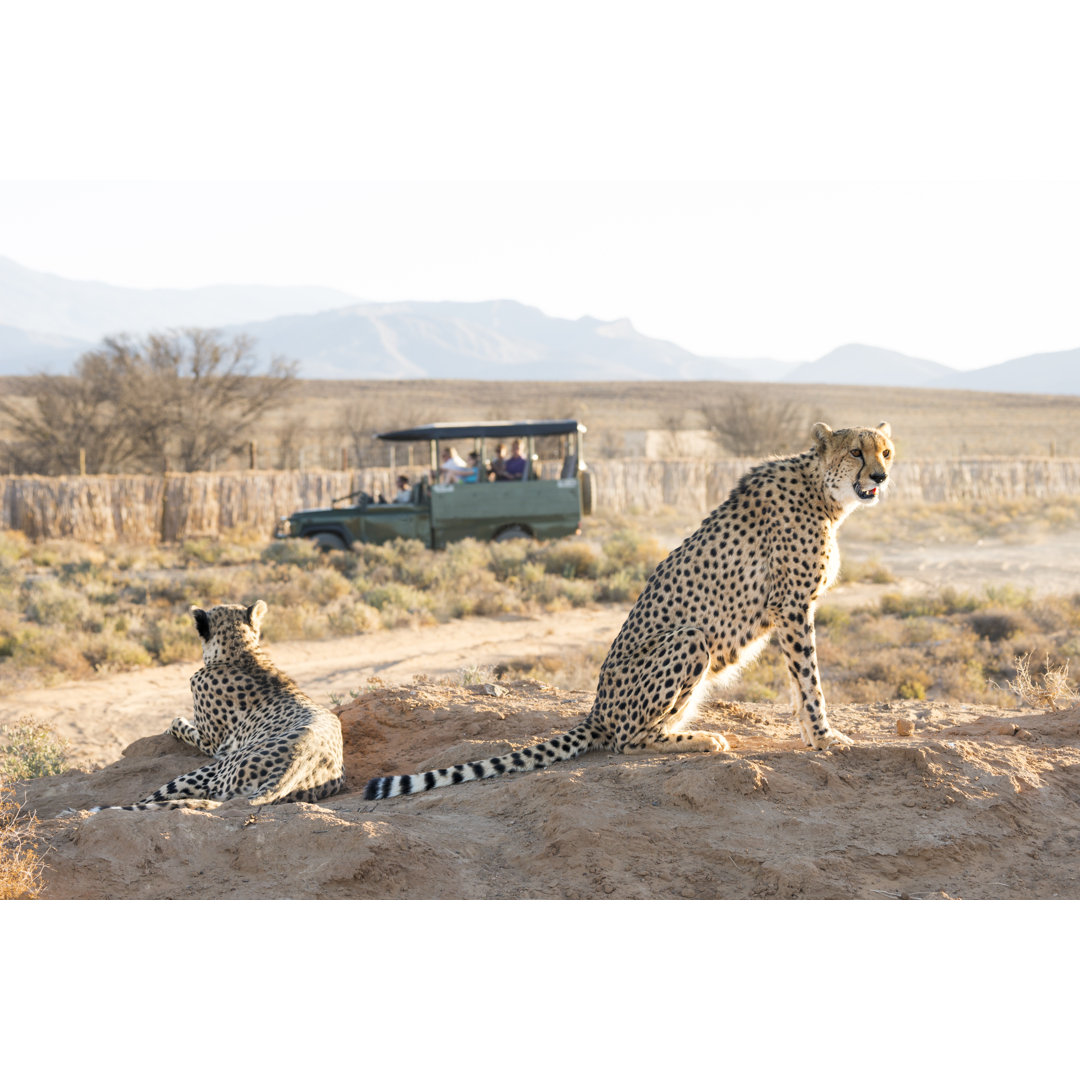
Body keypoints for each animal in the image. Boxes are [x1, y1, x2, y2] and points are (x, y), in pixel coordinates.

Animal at [96, 600, 343, 812]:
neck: (241, 651)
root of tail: (287, 775)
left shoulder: (211, 744)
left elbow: (178, 722)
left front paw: (171, 726)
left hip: (206, 771)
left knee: (150, 800)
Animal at [365, 421, 894, 803]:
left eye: (886, 451)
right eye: (856, 452)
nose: (881, 477)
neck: (822, 492)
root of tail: (597, 707)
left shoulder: (791, 610)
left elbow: (798, 683)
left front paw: (813, 735)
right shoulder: (792, 606)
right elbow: (810, 680)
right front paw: (825, 737)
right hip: (689, 638)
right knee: (627, 740)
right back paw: (701, 740)